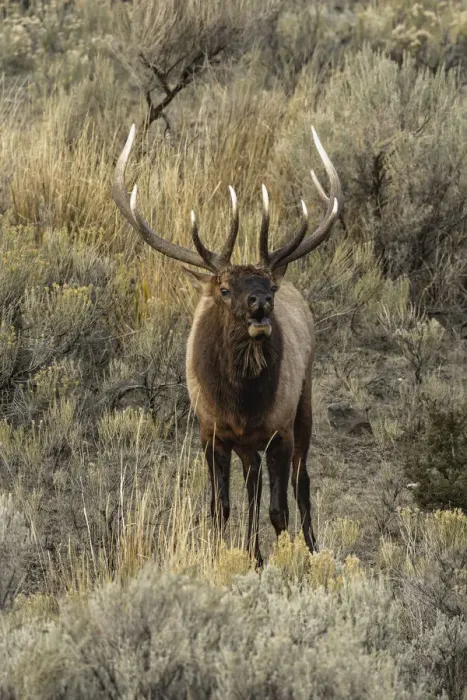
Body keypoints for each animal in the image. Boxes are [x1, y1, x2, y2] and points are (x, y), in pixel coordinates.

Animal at [112, 124, 343, 566]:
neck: (242, 403)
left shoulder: (279, 430)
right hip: (246, 443)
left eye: (269, 286)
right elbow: (220, 506)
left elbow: (278, 509)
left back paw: (312, 547)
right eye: (224, 288)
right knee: (252, 483)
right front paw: (236, 556)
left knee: (300, 482)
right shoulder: (211, 430)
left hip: (303, 401)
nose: (261, 303)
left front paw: (282, 559)